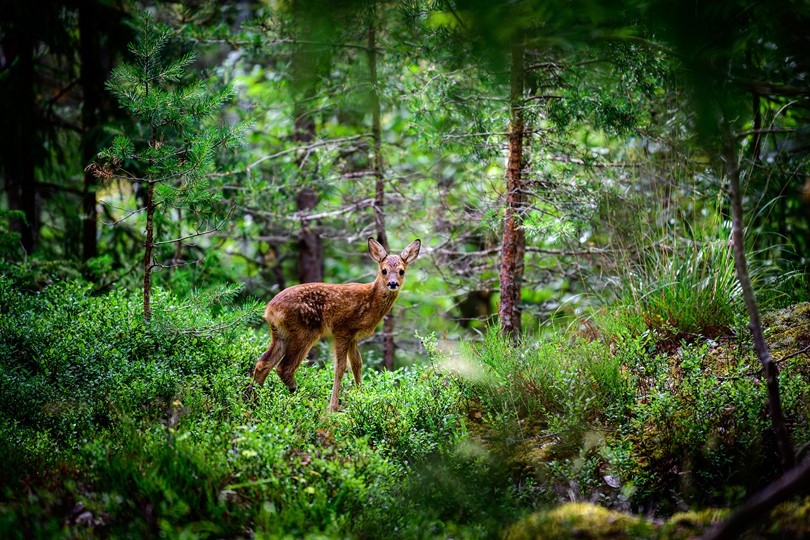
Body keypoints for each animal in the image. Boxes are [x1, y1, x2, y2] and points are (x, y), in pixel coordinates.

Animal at [249, 238, 420, 412]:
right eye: (384, 270)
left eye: (401, 271)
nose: (393, 283)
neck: (370, 302)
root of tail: (269, 310)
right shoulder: (343, 330)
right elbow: (340, 367)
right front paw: (333, 407)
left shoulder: (353, 336)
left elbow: (357, 364)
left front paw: (361, 398)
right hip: (305, 330)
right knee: (284, 368)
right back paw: (305, 401)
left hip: (280, 333)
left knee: (264, 363)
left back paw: (253, 404)